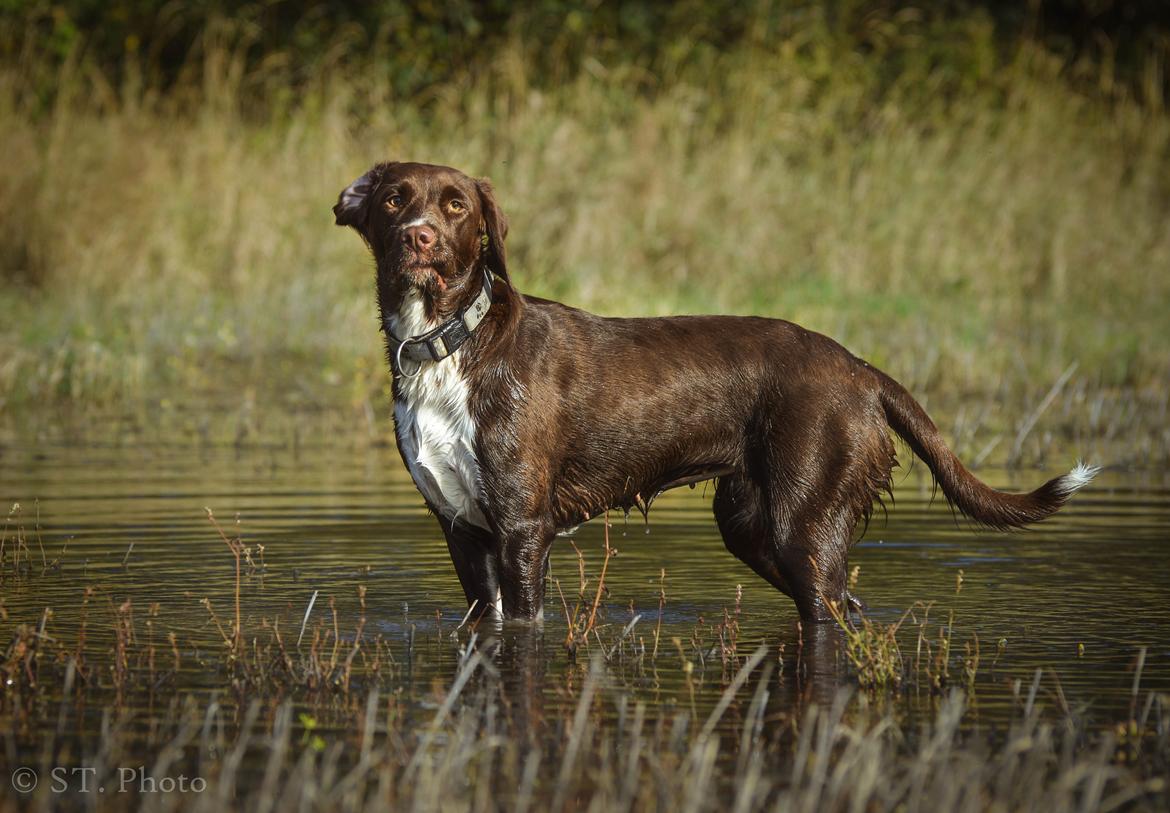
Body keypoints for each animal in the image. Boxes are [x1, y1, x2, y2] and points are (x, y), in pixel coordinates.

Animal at [332, 162, 1095, 627]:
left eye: (456, 206)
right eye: (395, 199)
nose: (419, 237)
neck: (447, 343)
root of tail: (858, 366)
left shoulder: (523, 530)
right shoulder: (463, 533)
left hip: (803, 524)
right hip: (752, 524)